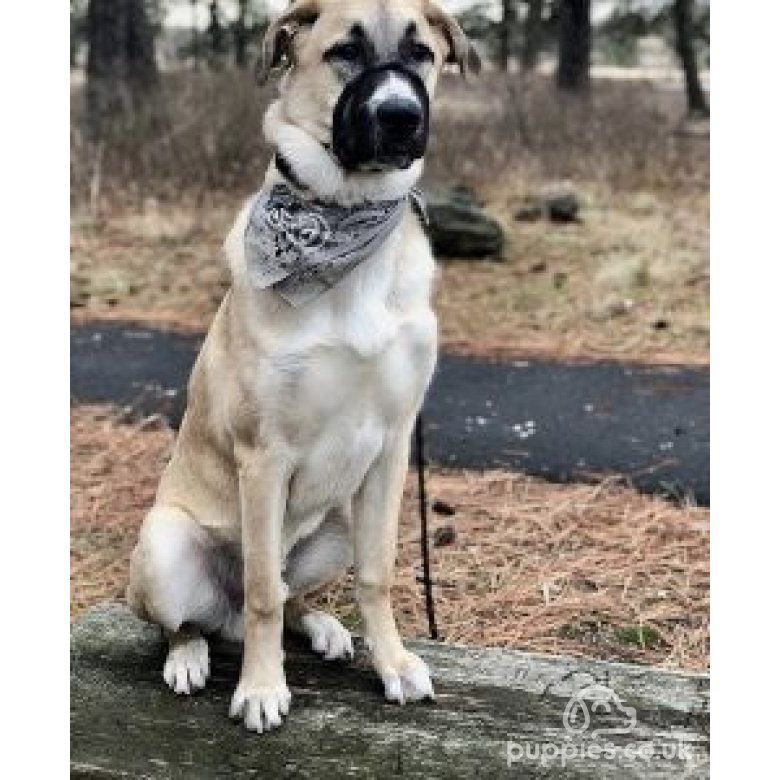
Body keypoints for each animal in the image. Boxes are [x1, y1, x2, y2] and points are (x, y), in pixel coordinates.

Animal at [125, 0, 478, 736]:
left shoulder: (392, 446)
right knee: (197, 618)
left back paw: (323, 628)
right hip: (165, 541)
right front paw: (261, 688)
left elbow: (376, 574)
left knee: (293, 595)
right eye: (344, 52)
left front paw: (392, 663)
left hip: (337, 522)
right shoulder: (265, 455)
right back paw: (189, 657)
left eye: (421, 53)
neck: (347, 219)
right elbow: (262, 589)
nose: (401, 115)